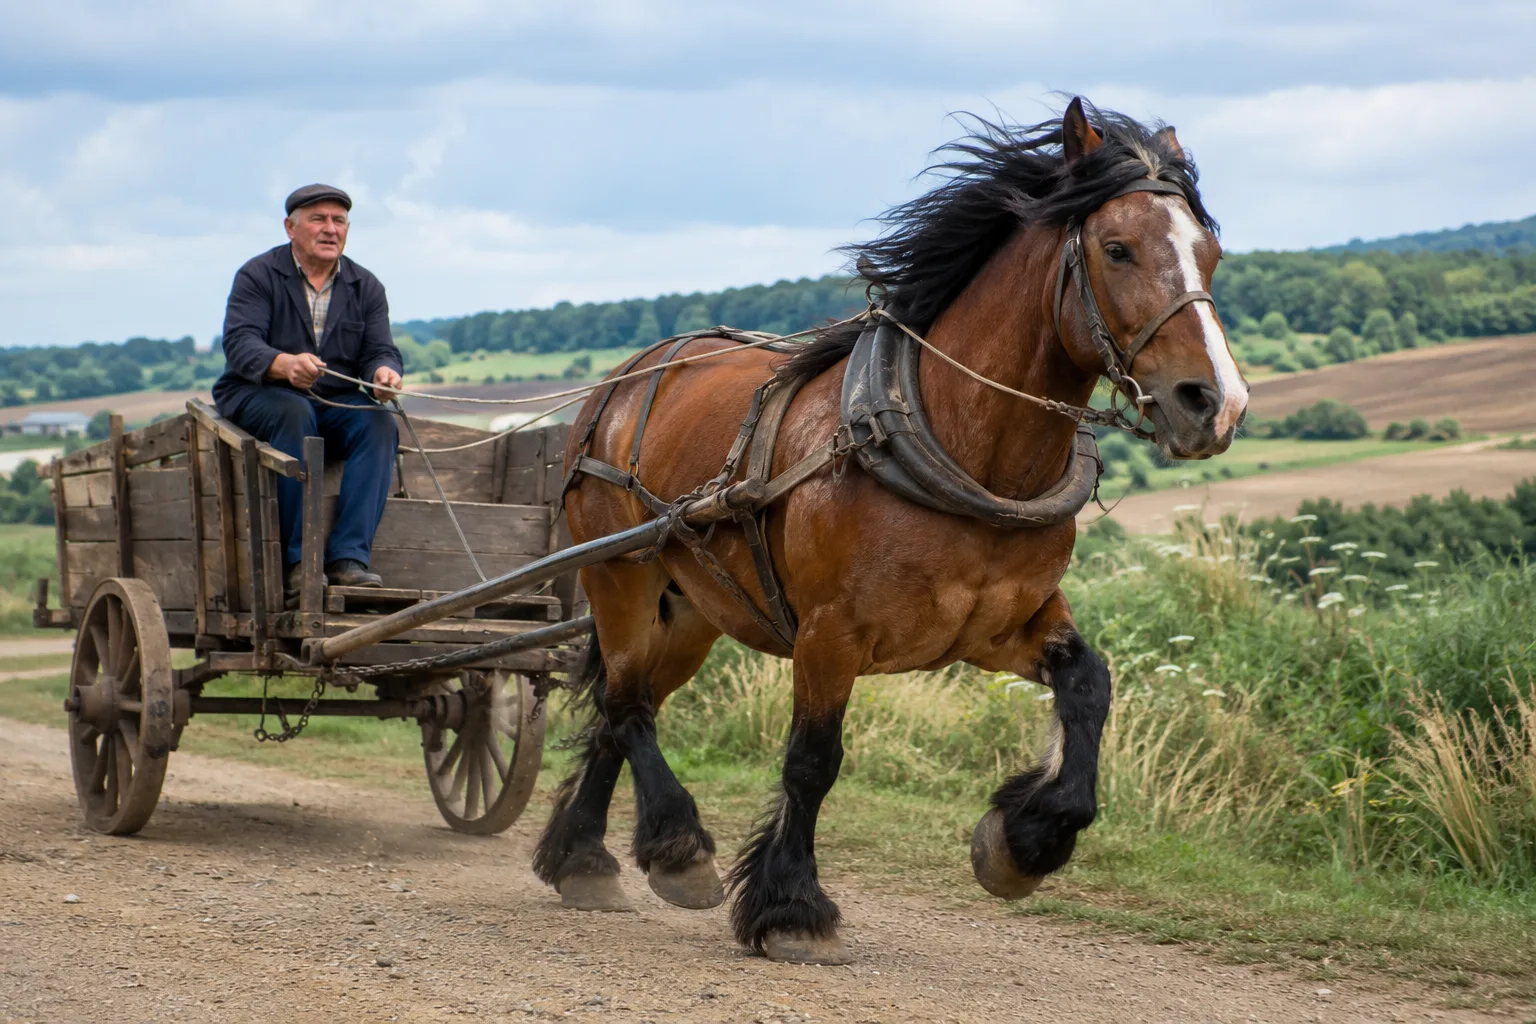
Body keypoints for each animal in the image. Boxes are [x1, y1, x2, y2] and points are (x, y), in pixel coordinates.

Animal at [532, 97, 1248, 964]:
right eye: (1117, 249)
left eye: (1210, 253)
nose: (1214, 404)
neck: (955, 440)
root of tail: (623, 380)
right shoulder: (828, 634)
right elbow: (812, 762)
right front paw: (791, 908)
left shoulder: (1001, 625)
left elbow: (1090, 684)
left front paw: (1026, 840)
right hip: (621, 577)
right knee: (627, 703)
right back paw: (676, 847)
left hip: (694, 609)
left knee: (620, 706)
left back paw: (585, 858)